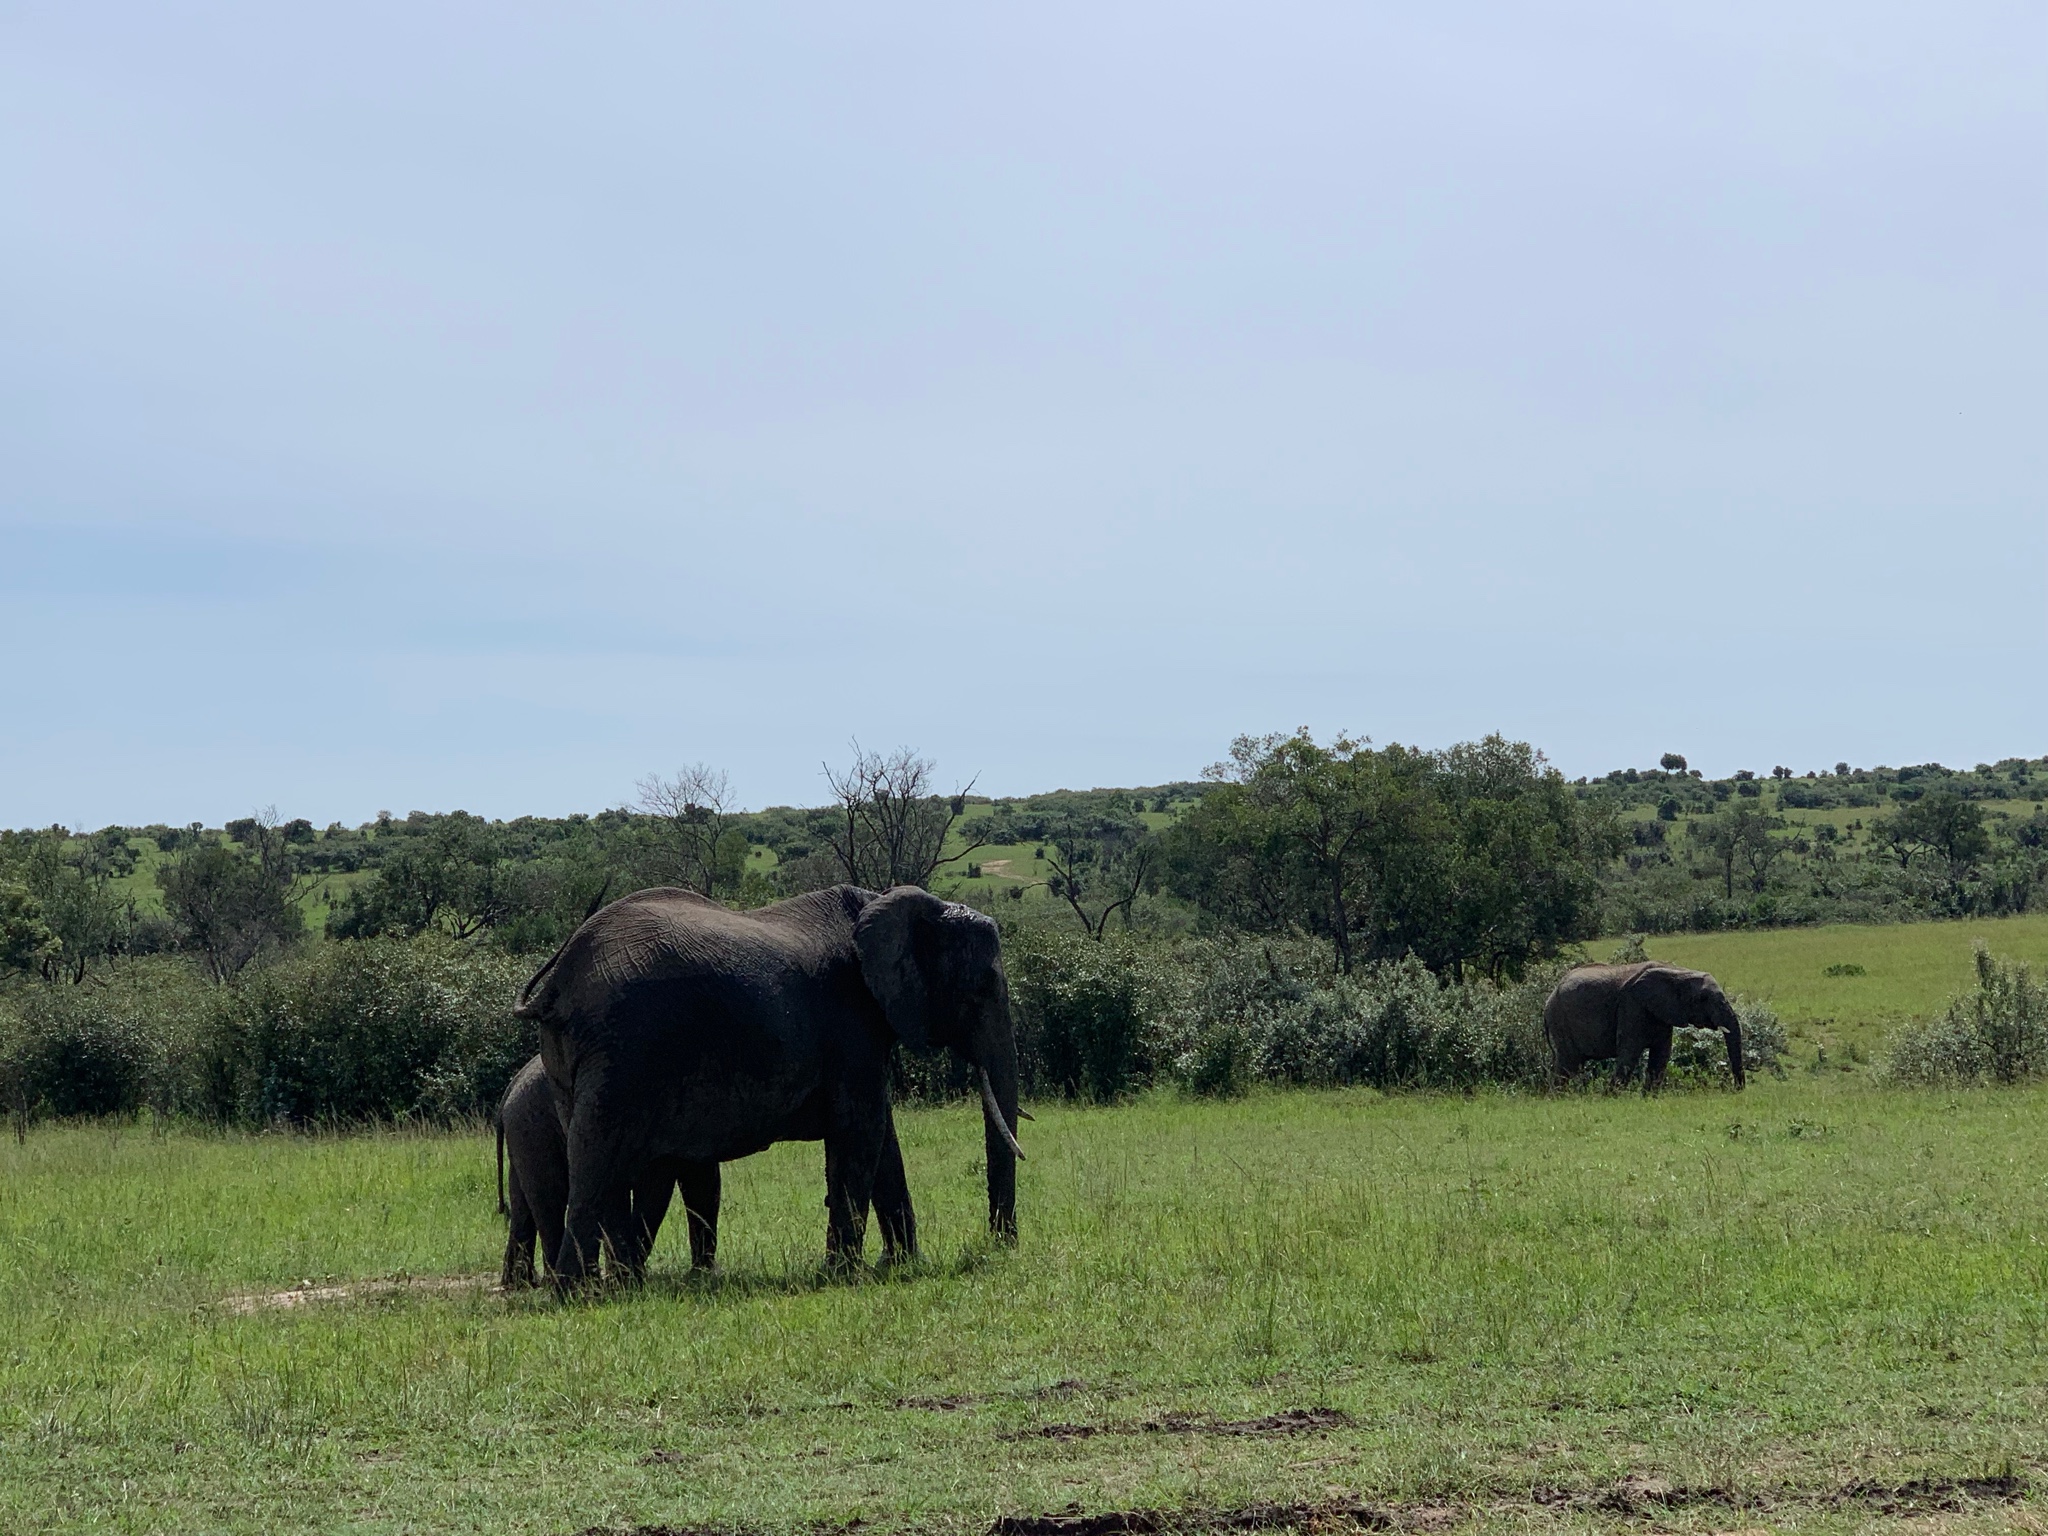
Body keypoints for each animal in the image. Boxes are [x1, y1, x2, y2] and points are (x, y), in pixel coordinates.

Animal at [512, 884, 1024, 1294]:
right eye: (983, 985)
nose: (1001, 1244)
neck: (884, 902)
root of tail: (558, 982)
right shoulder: (851, 1023)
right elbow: (861, 1131)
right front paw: (843, 1275)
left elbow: (883, 1141)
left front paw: (899, 1265)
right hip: (623, 1049)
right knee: (598, 1158)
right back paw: (576, 1294)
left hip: (576, 1060)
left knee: (606, 1162)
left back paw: (620, 1287)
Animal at [1540, 962, 1744, 1097]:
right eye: (1703, 998)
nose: (1738, 1090)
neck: (1678, 972)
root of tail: (1549, 998)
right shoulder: (1631, 1005)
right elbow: (1630, 1052)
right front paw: (1611, 1097)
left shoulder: (1662, 1012)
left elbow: (1661, 1054)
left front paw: (1649, 1097)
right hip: (1561, 1020)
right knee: (1568, 1063)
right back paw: (1560, 1097)